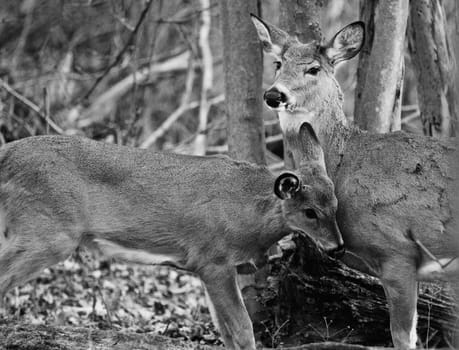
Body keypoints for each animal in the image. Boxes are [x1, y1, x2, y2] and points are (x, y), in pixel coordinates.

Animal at [0, 132, 342, 350]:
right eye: (310, 212)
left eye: (335, 205)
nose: (337, 245)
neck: (247, 211)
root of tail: (6, 155)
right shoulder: (213, 260)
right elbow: (242, 329)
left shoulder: (207, 268)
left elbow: (225, 330)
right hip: (49, 231)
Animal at [253, 14, 458, 350]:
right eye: (277, 63)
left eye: (313, 68)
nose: (273, 95)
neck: (344, 163)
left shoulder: (397, 251)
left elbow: (403, 336)